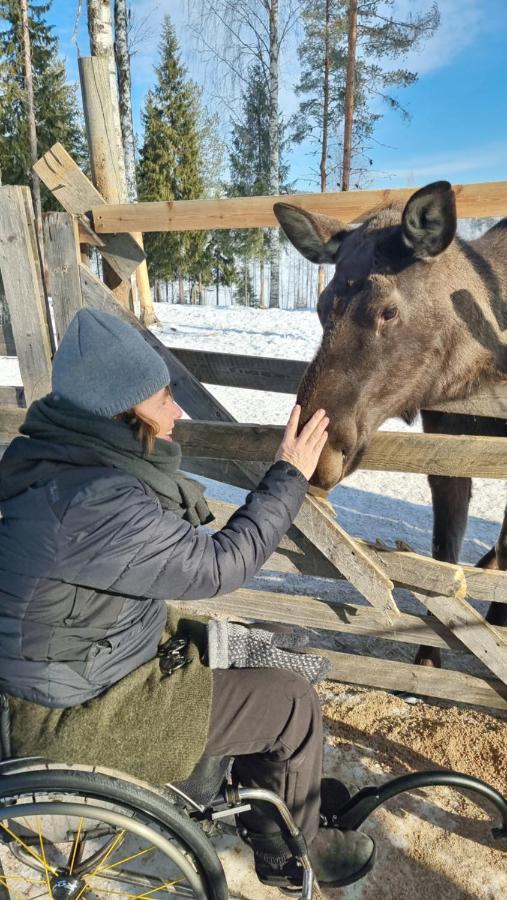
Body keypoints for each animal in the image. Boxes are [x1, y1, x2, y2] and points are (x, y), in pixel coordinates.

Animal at [276, 181, 506, 668]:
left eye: (388, 311)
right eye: (322, 307)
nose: (318, 456)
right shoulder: (450, 450)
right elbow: (444, 560)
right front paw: (431, 655)